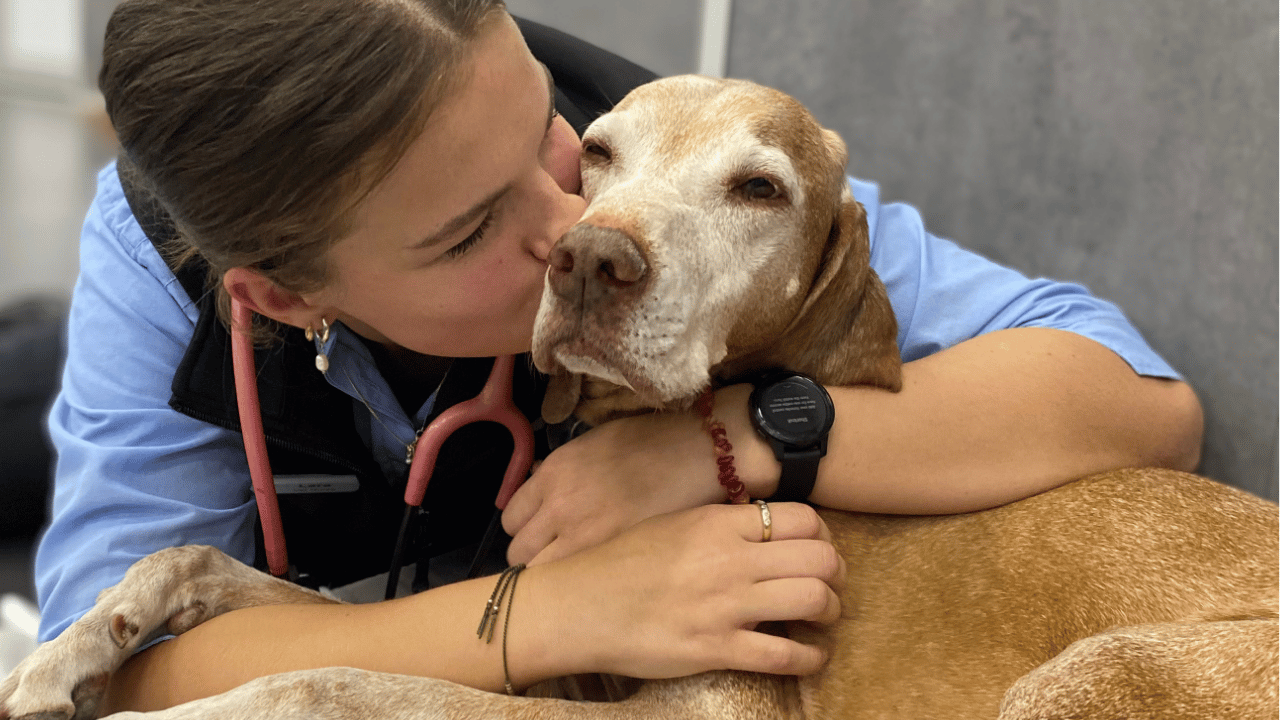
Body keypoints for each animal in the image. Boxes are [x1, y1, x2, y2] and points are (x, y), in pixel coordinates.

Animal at [5, 74, 1274, 717]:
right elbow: (208, 566)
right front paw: (69, 654)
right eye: (596, 154)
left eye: (760, 188)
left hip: (1093, 670)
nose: (584, 259)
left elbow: (321, 674)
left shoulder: (694, 716)